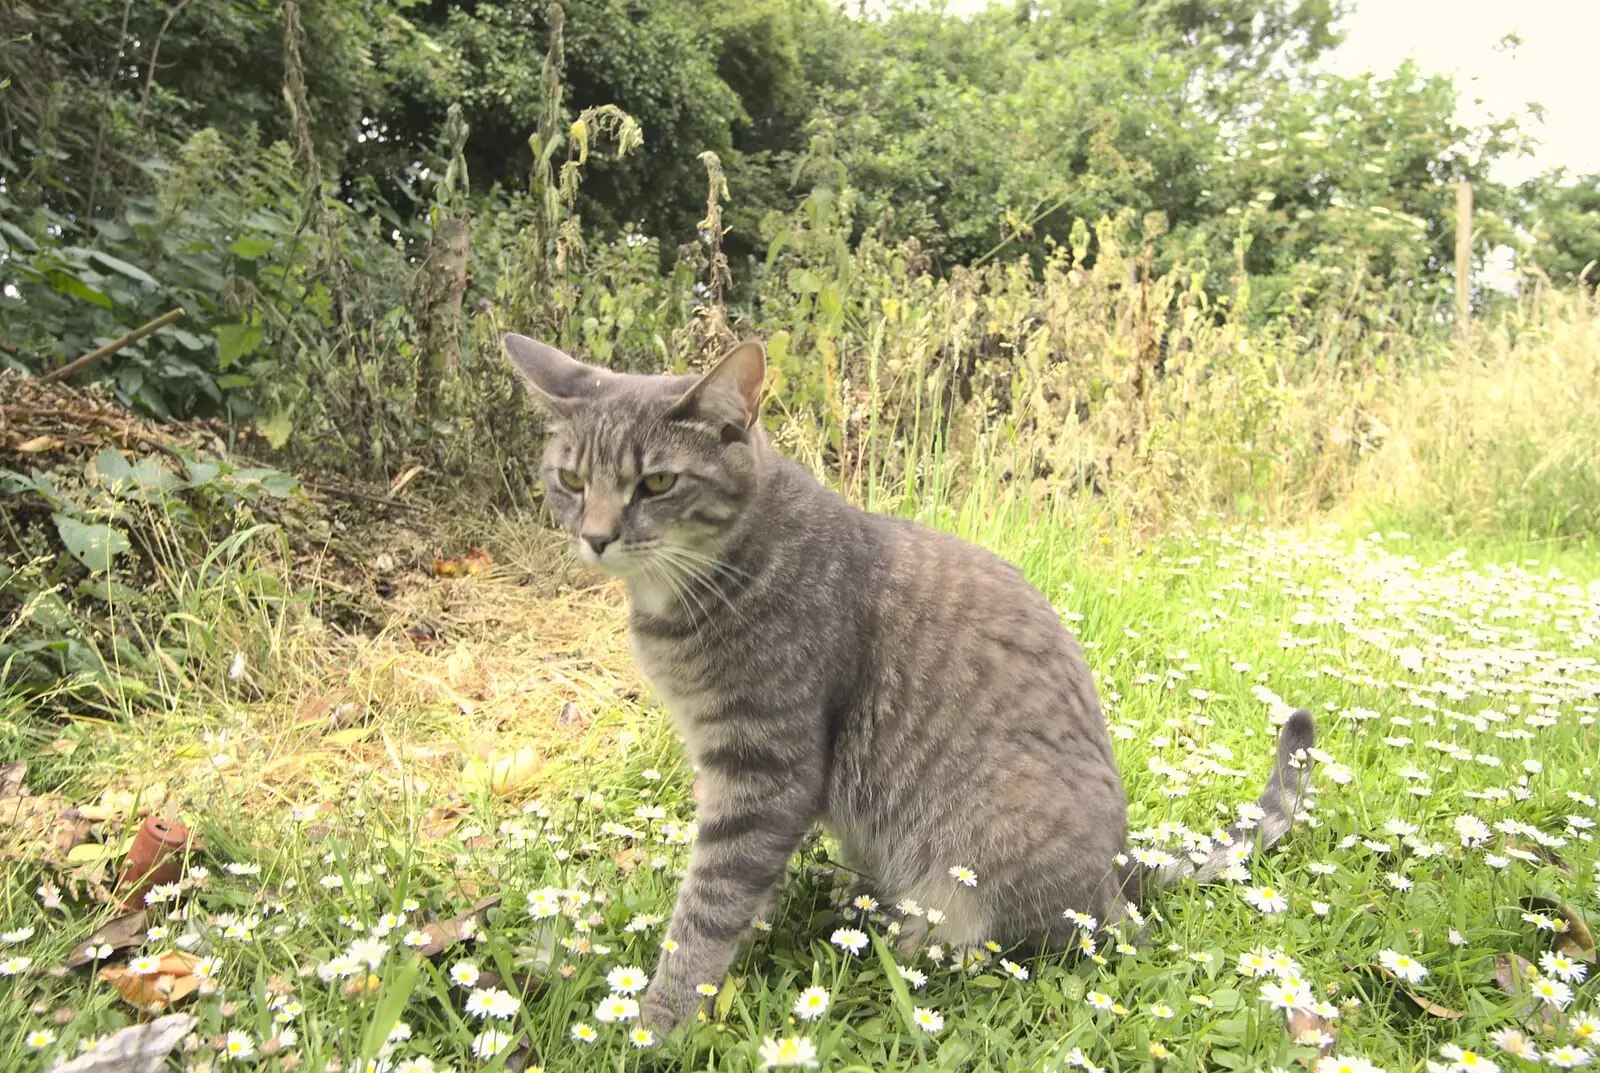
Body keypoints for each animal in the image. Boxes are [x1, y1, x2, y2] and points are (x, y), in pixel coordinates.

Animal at [505, 334, 1318, 1029]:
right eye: (570, 480)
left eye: (658, 481)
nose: (596, 536)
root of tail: (1121, 870)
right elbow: (741, 886)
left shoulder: (766, 765)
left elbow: (709, 900)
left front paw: (662, 1016)